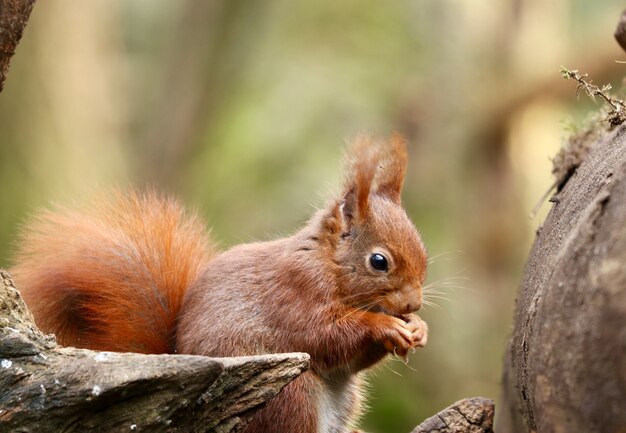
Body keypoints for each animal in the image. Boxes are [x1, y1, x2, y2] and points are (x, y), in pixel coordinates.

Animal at [11, 133, 428, 432]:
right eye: (379, 261)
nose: (413, 304)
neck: (327, 265)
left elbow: (353, 359)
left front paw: (417, 328)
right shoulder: (294, 295)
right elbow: (326, 335)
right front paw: (385, 325)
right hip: (289, 392)